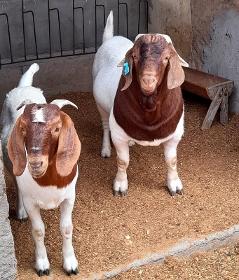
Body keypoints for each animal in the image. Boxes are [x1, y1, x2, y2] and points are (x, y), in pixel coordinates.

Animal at [0, 63, 81, 276]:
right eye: (24, 129)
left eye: (57, 128)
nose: (36, 163)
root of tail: (24, 86)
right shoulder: (32, 202)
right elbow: (38, 230)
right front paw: (42, 265)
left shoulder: (69, 197)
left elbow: (66, 228)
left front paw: (70, 264)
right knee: (16, 184)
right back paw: (20, 212)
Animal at [92, 11, 188, 197]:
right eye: (135, 57)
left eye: (166, 58)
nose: (148, 81)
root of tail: (111, 39)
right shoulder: (118, 134)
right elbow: (123, 161)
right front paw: (120, 186)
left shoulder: (175, 134)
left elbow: (172, 161)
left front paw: (174, 185)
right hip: (101, 107)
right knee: (105, 125)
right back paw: (106, 149)